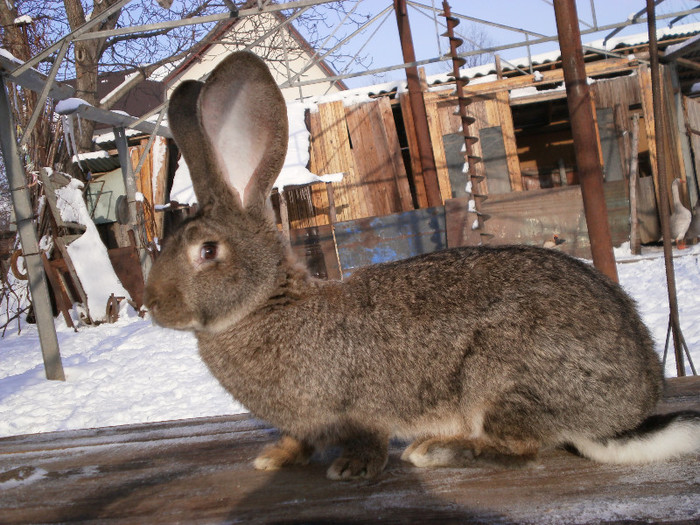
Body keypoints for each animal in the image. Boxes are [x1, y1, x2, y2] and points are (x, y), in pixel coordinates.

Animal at [144, 52, 700, 478]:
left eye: (207, 251)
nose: (153, 306)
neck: (267, 303)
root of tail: (617, 419)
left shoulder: (360, 405)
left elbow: (366, 435)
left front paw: (352, 469)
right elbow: (300, 440)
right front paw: (273, 458)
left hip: (501, 379)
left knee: (520, 448)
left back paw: (436, 450)